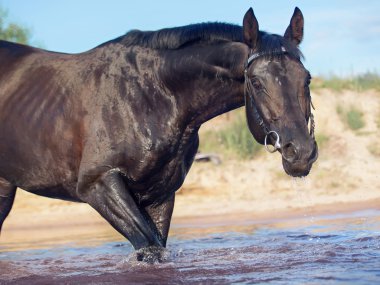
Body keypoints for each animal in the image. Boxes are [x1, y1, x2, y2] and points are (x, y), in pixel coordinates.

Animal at [0, 6, 318, 260]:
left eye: (306, 79)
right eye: (256, 82)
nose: (300, 153)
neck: (152, 96)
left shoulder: (159, 194)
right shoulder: (98, 184)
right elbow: (150, 249)